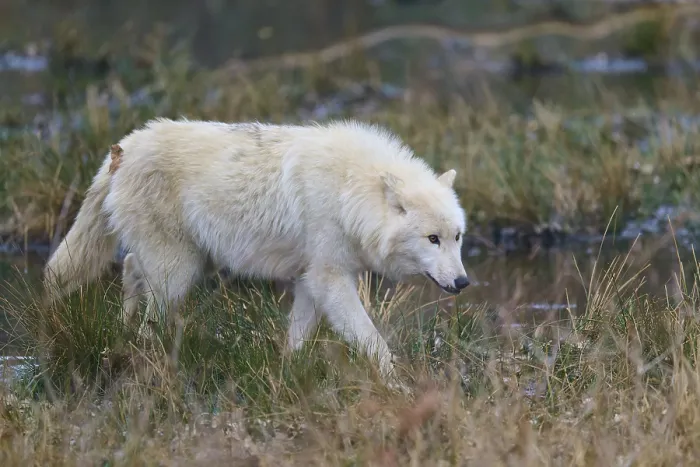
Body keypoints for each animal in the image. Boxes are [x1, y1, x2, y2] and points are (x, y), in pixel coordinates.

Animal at [42, 118, 470, 378]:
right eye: (432, 239)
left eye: (457, 237)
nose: (464, 283)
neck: (351, 190)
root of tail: (126, 145)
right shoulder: (329, 278)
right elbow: (373, 341)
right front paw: (396, 384)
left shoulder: (311, 280)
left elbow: (297, 338)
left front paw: (289, 372)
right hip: (178, 271)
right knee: (148, 306)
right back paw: (147, 355)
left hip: (182, 263)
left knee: (130, 268)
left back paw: (122, 333)